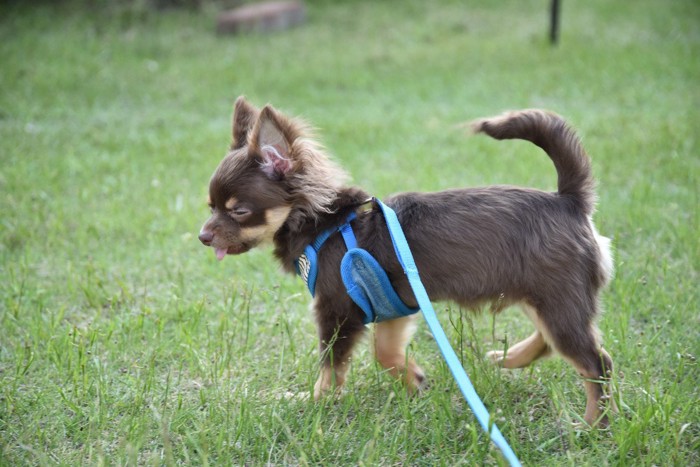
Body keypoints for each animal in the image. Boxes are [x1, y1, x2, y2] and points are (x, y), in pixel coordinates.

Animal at [200, 98, 616, 428]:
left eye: (238, 211)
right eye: (211, 206)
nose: (203, 236)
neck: (324, 224)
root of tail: (568, 200)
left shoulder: (337, 311)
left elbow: (331, 368)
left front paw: (315, 401)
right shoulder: (392, 306)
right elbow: (385, 354)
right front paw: (415, 380)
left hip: (556, 299)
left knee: (596, 364)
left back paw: (592, 425)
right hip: (542, 296)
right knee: (555, 343)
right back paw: (510, 358)